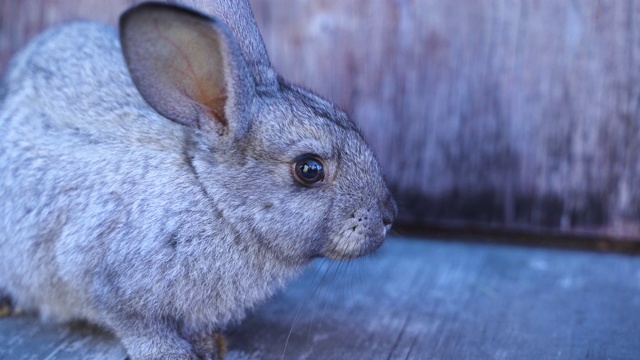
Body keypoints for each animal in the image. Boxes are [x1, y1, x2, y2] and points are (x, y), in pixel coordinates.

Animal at [0, 0, 398, 358]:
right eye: (309, 169)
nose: (388, 215)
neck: (213, 198)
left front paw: (208, 345)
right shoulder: (102, 276)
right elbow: (137, 324)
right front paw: (170, 353)